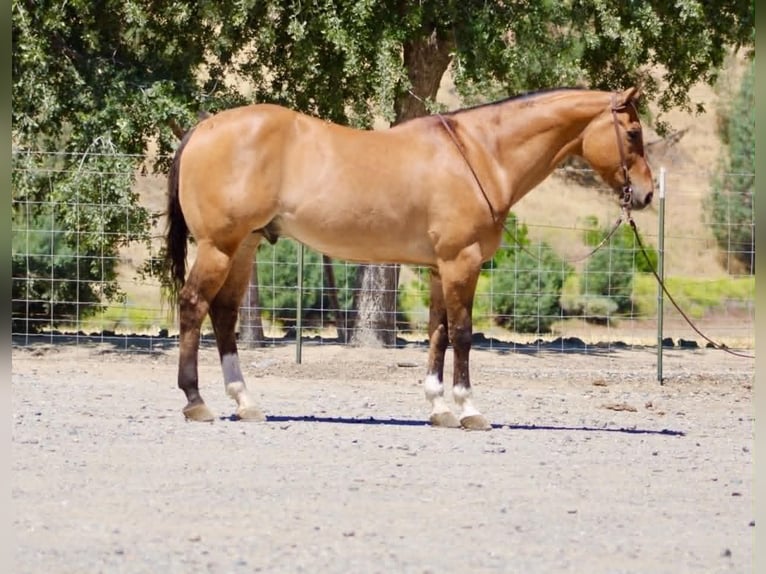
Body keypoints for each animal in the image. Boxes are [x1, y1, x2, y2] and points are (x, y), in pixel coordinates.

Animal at [164, 86, 654, 430]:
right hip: (218, 246)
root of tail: (203, 128)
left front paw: (439, 408)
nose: (647, 194)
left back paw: (245, 402)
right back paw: (196, 401)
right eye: (633, 134)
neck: (481, 154)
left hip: (242, 247)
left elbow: (438, 334)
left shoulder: (440, 268)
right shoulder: (462, 262)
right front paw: (469, 410)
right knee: (193, 306)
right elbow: (462, 335)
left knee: (224, 314)